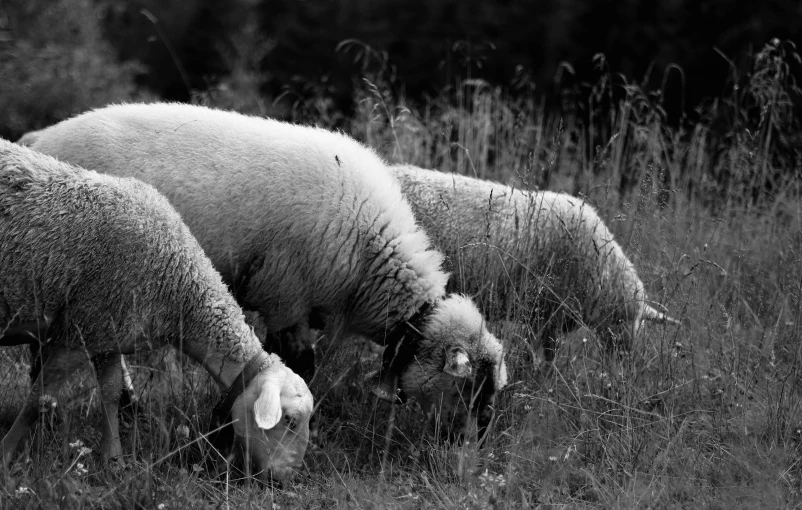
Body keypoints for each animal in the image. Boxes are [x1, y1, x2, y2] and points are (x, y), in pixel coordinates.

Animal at [0, 138, 312, 478]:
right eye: (289, 421)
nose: (288, 477)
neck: (178, 285)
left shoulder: (108, 332)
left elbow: (110, 394)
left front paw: (114, 462)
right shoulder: (81, 326)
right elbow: (39, 398)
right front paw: (5, 454)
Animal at [21, 103, 510, 438]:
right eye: (468, 388)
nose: (479, 439)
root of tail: (41, 137)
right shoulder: (285, 298)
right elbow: (298, 365)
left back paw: (124, 409)